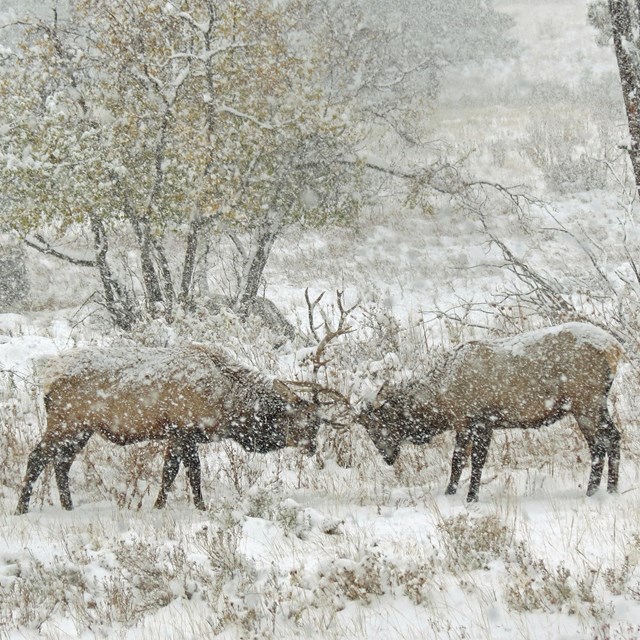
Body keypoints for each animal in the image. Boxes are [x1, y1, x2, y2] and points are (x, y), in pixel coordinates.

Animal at [16, 344, 320, 516]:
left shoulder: (174, 435)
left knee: (61, 462)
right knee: (37, 456)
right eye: (303, 421)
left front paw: (158, 505)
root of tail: (47, 375)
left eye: (317, 423)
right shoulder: (185, 430)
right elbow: (194, 472)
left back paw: (67, 506)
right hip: (66, 422)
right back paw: (21, 508)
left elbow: (168, 473)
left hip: (81, 430)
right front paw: (201, 507)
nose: (313, 446)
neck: (227, 403)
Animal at [362, 322, 624, 502]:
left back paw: (597, 490)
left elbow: (471, 460)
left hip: (587, 401)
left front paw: (468, 497)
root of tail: (615, 348)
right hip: (588, 405)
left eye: (377, 427)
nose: (386, 457)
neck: (443, 401)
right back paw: (606, 490)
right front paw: (453, 493)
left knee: (605, 441)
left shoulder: (479, 420)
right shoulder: (470, 423)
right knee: (608, 439)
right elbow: (462, 461)